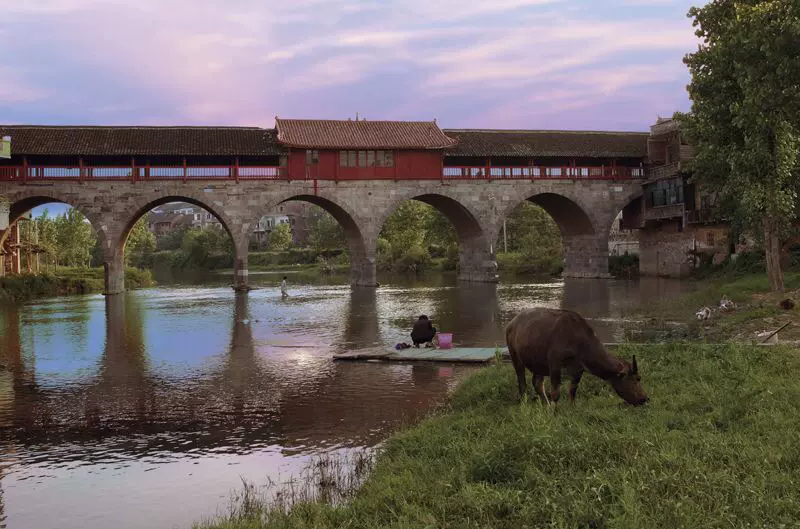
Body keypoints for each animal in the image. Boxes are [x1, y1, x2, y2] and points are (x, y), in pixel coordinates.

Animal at [506, 308, 648, 406]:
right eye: (636, 379)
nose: (644, 398)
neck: (579, 342)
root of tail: (513, 323)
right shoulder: (554, 365)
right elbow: (556, 393)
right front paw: (554, 413)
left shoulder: (578, 370)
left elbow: (572, 391)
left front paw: (572, 408)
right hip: (515, 356)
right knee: (522, 382)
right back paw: (525, 403)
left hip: (538, 363)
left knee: (537, 382)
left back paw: (545, 404)